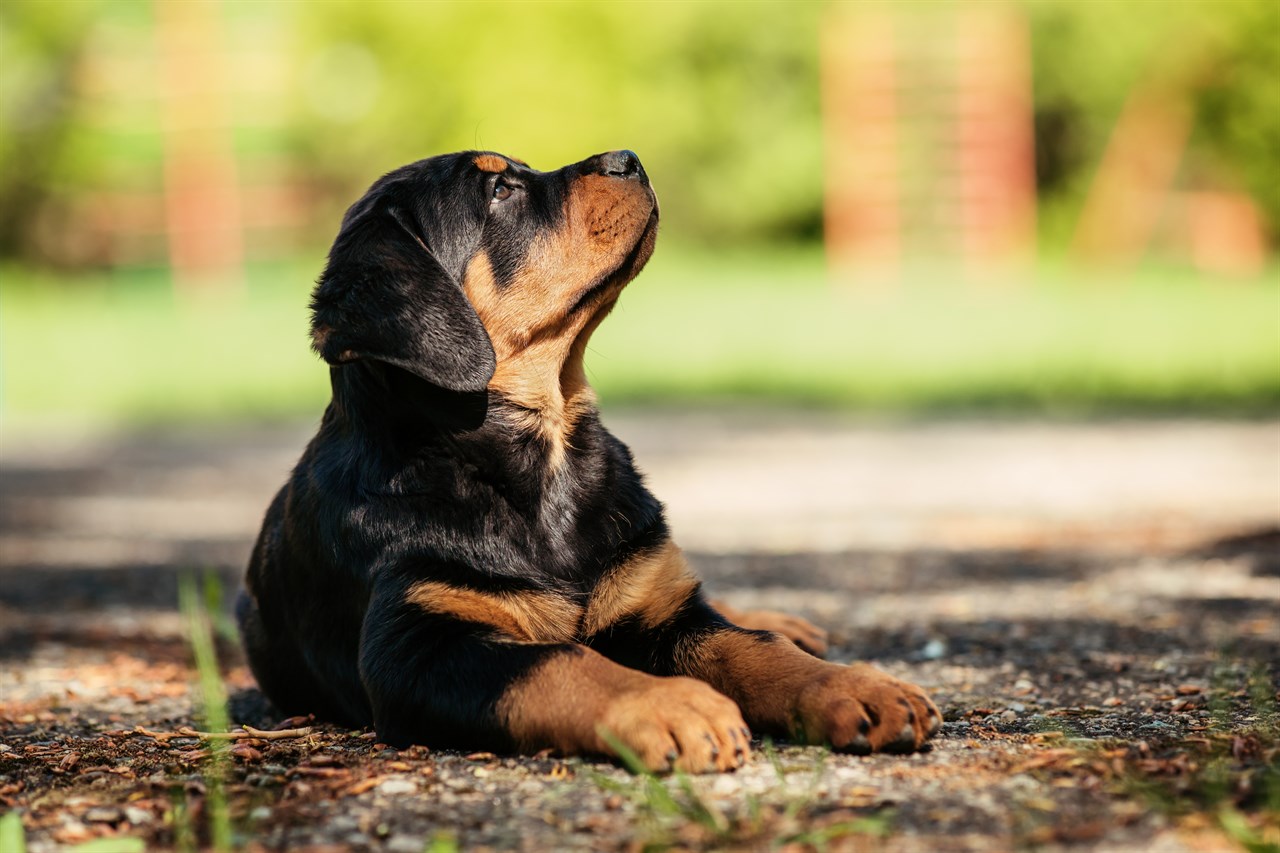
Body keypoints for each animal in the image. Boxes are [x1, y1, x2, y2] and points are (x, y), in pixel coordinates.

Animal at [240, 147, 942, 768]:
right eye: (500, 191)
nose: (628, 158)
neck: (543, 461)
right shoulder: (418, 645)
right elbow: (560, 662)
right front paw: (671, 706)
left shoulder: (656, 609)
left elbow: (753, 650)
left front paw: (858, 686)